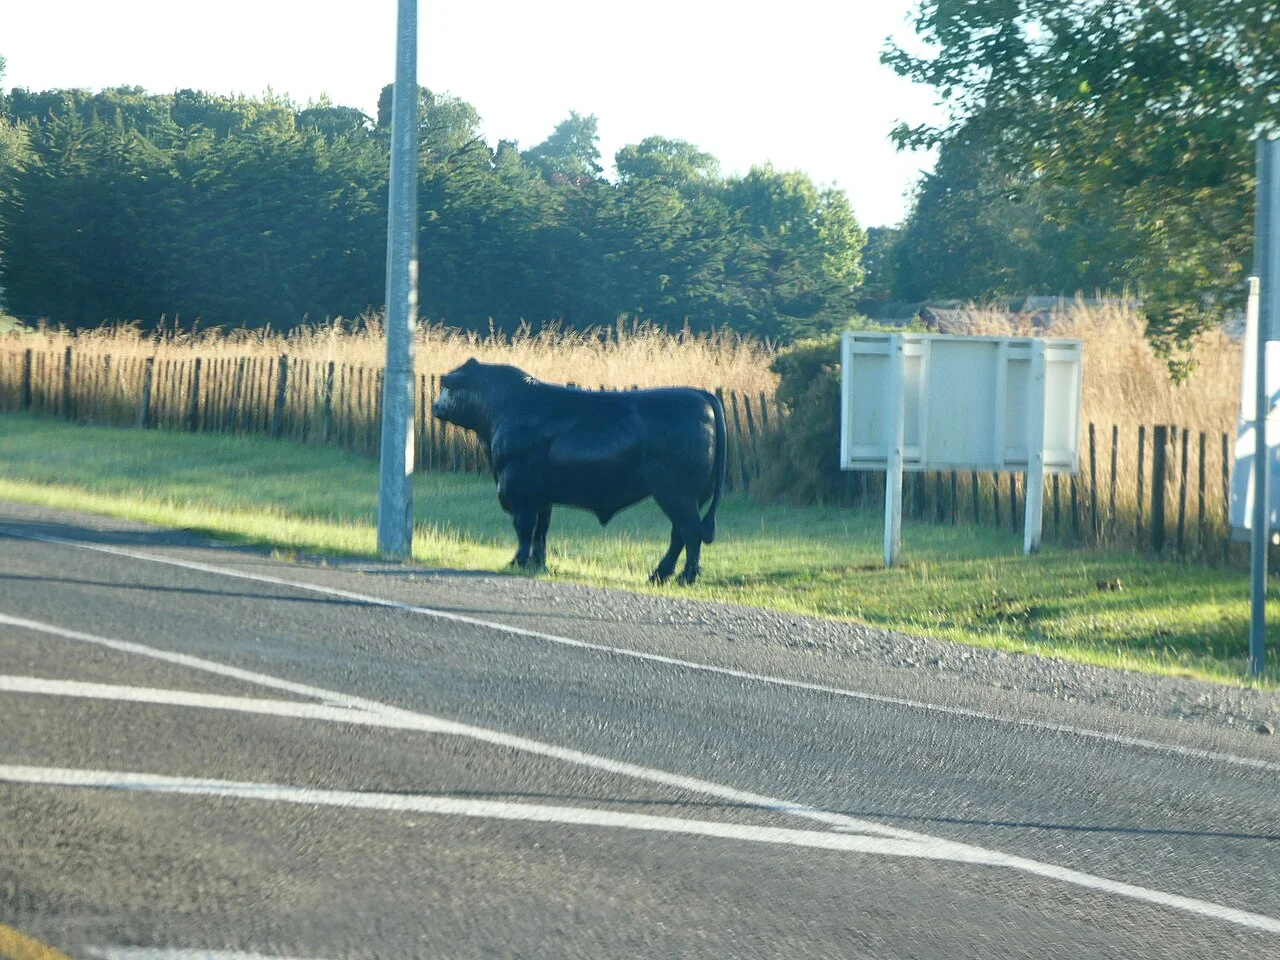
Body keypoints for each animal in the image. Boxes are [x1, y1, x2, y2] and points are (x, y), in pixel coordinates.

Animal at [431, 358, 726, 585]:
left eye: (447, 387)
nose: (435, 407)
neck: (505, 409)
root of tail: (699, 394)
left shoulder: (521, 490)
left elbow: (524, 527)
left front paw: (518, 561)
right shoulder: (543, 496)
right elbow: (541, 530)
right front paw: (538, 563)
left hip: (676, 493)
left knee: (690, 532)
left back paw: (685, 577)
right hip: (688, 497)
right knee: (680, 534)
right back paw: (660, 575)